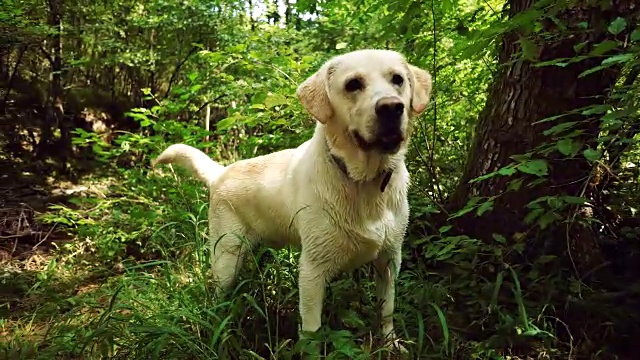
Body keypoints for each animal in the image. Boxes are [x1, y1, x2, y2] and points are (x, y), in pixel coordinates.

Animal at [152, 49, 432, 350]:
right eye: (353, 84)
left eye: (398, 79)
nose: (391, 107)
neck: (362, 182)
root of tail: (221, 173)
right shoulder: (312, 271)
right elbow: (311, 332)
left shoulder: (390, 260)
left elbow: (386, 310)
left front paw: (390, 344)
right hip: (226, 258)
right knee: (219, 298)